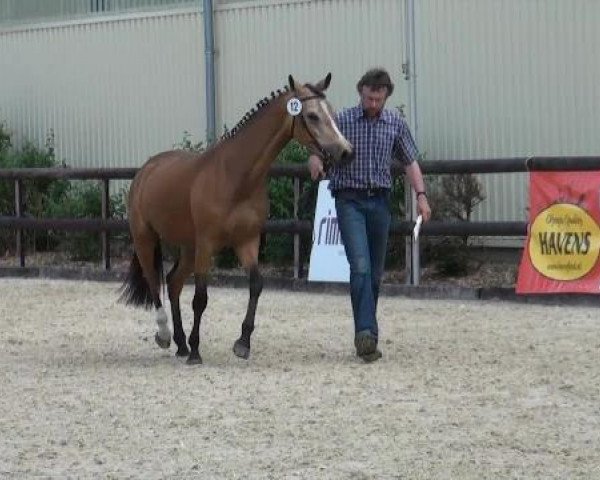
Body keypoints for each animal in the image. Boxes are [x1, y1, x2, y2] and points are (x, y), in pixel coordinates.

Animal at [119, 74, 352, 364]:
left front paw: (242, 343)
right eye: (312, 116)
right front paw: (197, 351)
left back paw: (181, 344)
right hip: (146, 239)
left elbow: (256, 285)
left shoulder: (246, 241)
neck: (235, 177)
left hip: (188, 246)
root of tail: (147, 170)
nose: (346, 151)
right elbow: (200, 297)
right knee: (154, 283)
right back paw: (166, 336)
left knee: (173, 283)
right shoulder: (207, 244)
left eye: (331, 112)